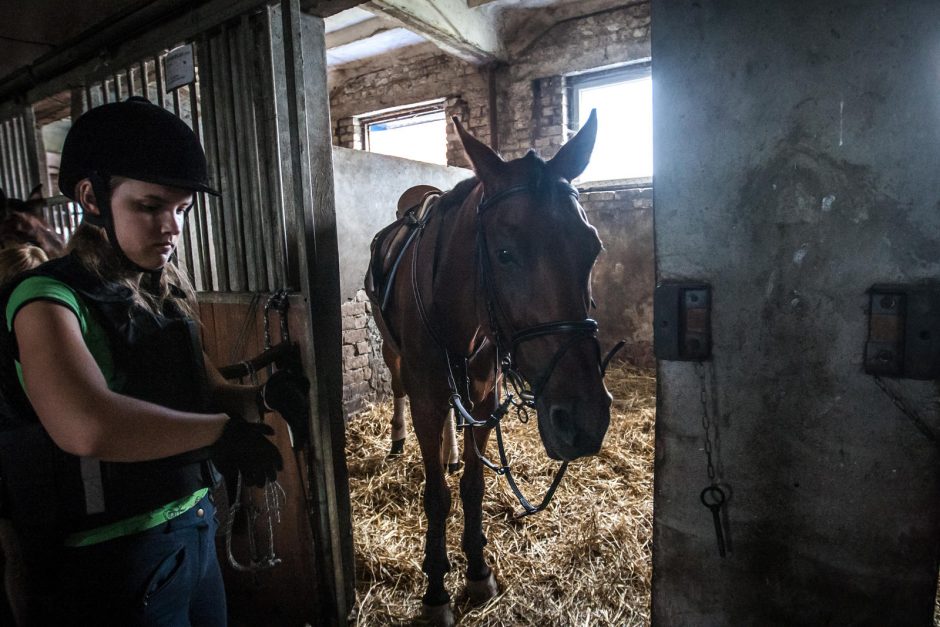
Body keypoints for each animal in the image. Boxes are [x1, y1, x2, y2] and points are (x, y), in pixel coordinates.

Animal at [364, 111, 612, 624]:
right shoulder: (426, 396)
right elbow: (437, 496)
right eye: (504, 253)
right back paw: (398, 440)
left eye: (592, 248)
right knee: (397, 388)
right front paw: (436, 591)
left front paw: (477, 570)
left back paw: (451, 451)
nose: (585, 420)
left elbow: (474, 486)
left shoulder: (484, 394)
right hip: (392, 352)